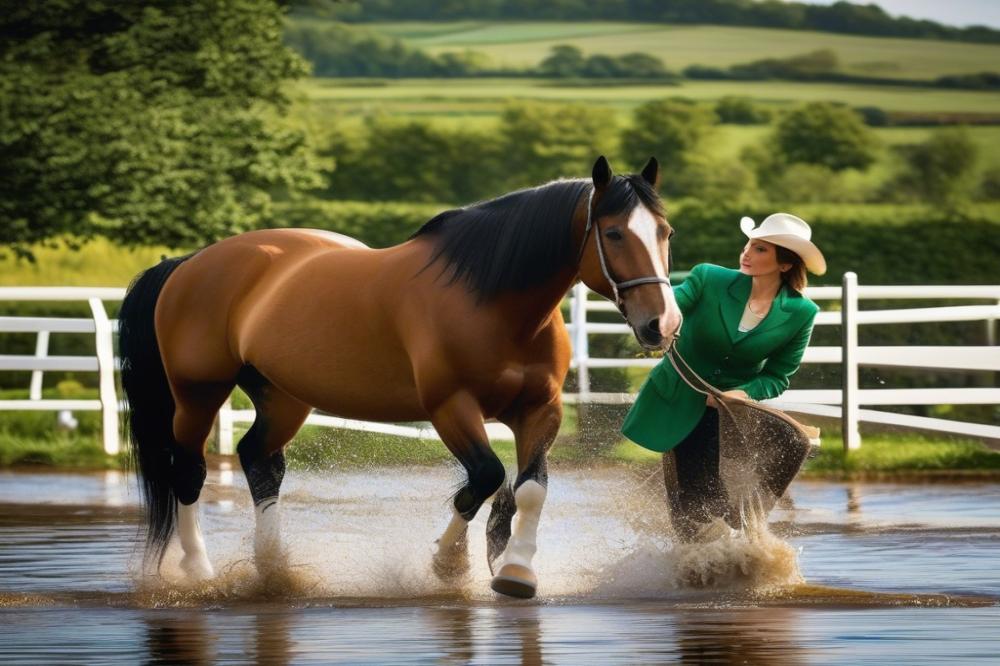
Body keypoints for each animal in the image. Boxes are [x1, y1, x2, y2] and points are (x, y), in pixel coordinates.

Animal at [115, 156, 680, 596]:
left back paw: (275, 569)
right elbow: (486, 478)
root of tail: (189, 263)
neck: (489, 300)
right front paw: (449, 564)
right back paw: (199, 570)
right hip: (198, 393)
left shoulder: (539, 410)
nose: (663, 324)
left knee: (259, 460)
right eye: (613, 233)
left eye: (665, 232)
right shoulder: (450, 407)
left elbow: (529, 489)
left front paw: (514, 569)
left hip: (283, 396)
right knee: (189, 470)